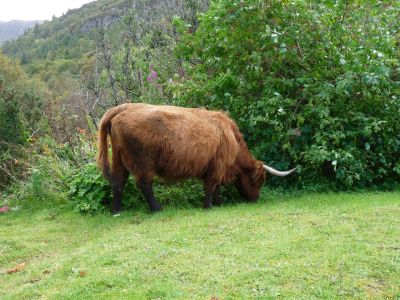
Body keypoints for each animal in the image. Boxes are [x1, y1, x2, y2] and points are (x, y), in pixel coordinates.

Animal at [97, 103, 296, 213]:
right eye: (258, 181)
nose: (255, 198)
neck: (232, 139)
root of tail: (122, 108)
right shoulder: (216, 167)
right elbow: (210, 187)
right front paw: (208, 206)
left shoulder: (217, 168)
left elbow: (216, 188)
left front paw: (219, 204)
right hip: (143, 163)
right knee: (144, 185)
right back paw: (157, 209)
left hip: (119, 159)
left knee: (118, 182)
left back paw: (117, 210)